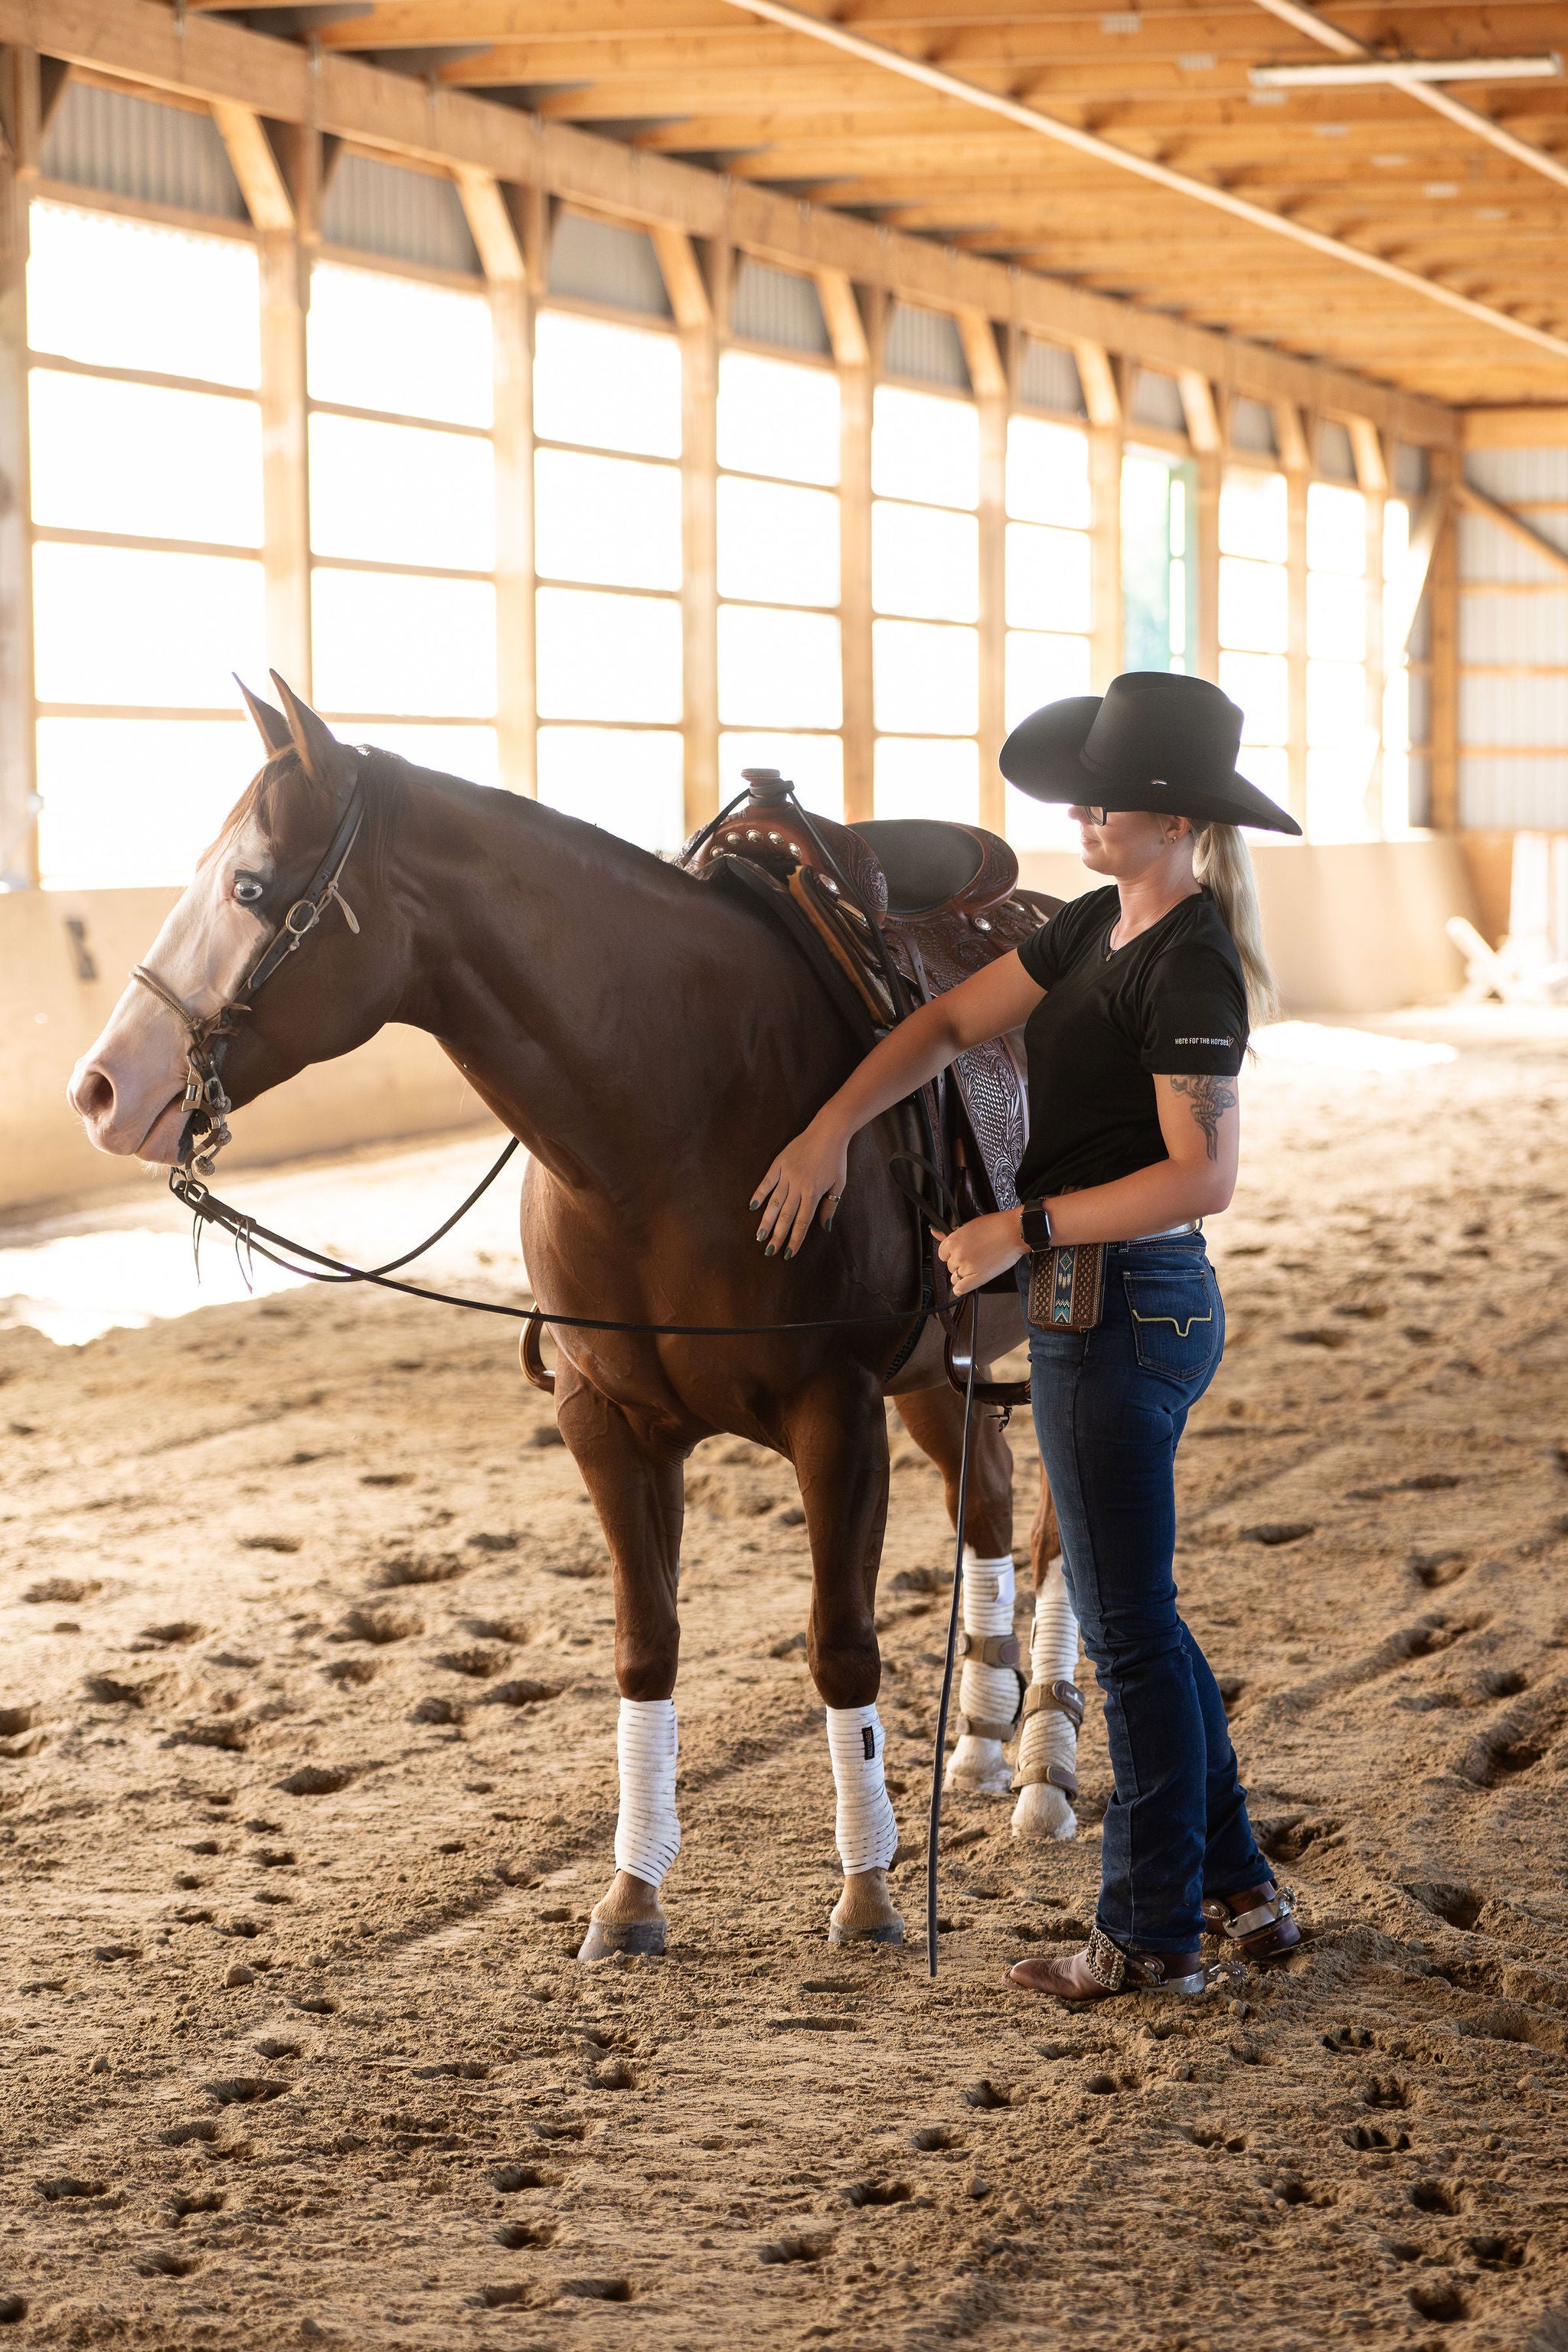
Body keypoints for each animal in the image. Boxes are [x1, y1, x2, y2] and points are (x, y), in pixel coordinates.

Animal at [67, 677, 1081, 1959]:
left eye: (250, 888)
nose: (103, 1089)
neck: (680, 1104)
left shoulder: (835, 1413)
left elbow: (841, 1645)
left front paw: (867, 1892)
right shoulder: (608, 1422)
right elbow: (645, 1647)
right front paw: (631, 1899)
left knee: (1064, 1534)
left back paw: (1046, 1771)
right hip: (940, 1372)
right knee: (988, 1504)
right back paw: (987, 1746)